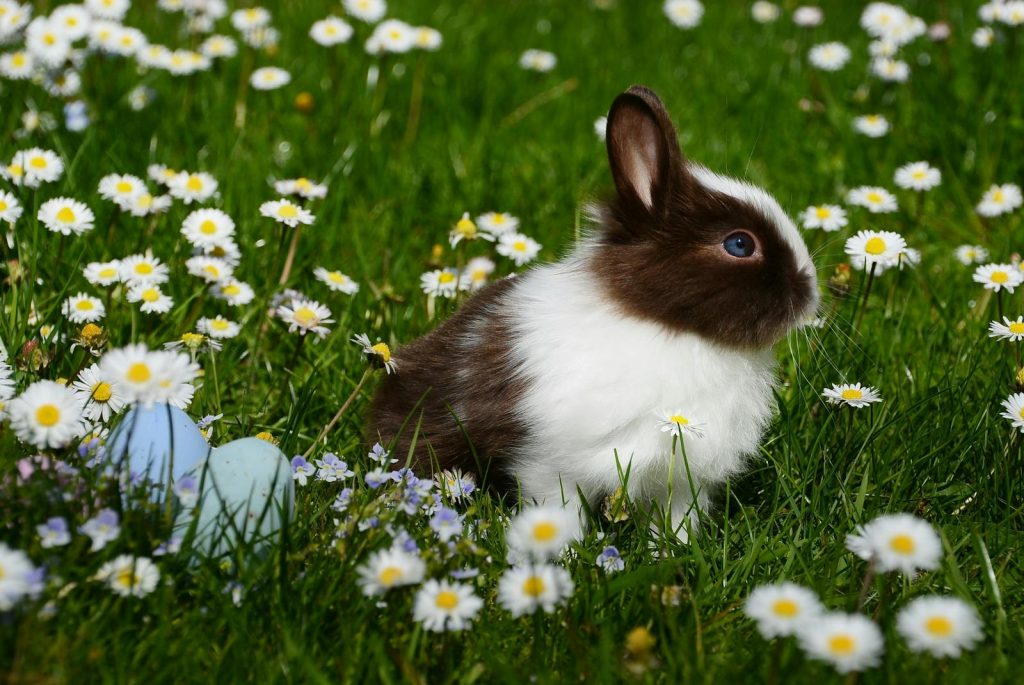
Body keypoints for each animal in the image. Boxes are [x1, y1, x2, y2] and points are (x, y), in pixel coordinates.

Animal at [370, 85, 819, 540]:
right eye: (740, 245)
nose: (811, 292)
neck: (668, 328)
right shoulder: (549, 464)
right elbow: (558, 512)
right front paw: (564, 549)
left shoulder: (680, 479)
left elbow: (676, 519)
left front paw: (671, 548)